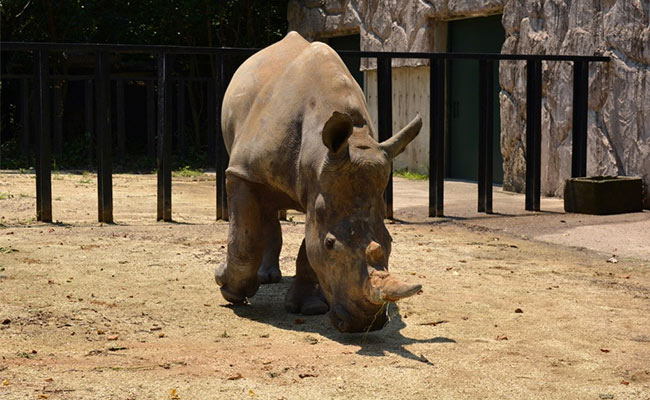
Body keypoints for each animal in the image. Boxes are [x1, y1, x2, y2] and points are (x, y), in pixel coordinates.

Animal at [215, 31, 423, 332]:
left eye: (390, 240)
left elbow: (309, 241)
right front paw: (229, 289)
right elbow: (243, 239)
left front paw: (310, 307)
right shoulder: (242, 172)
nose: (365, 325)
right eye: (330, 244)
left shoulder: (320, 185)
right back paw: (266, 278)